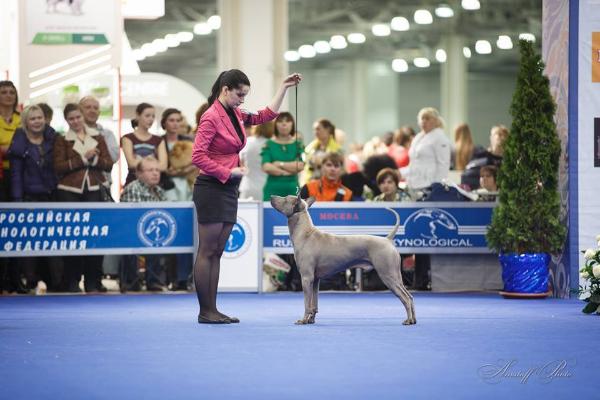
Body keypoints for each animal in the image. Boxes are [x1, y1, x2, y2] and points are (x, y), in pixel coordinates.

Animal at [272, 195, 418, 326]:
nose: (272, 196)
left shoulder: (306, 278)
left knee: (405, 298)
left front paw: (303, 320)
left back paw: (408, 320)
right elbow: (314, 304)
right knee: (410, 296)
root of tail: (387, 239)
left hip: (387, 275)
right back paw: (413, 320)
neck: (306, 234)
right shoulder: (315, 280)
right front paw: (310, 320)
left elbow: (307, 303)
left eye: (285, 199)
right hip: (395, 275)